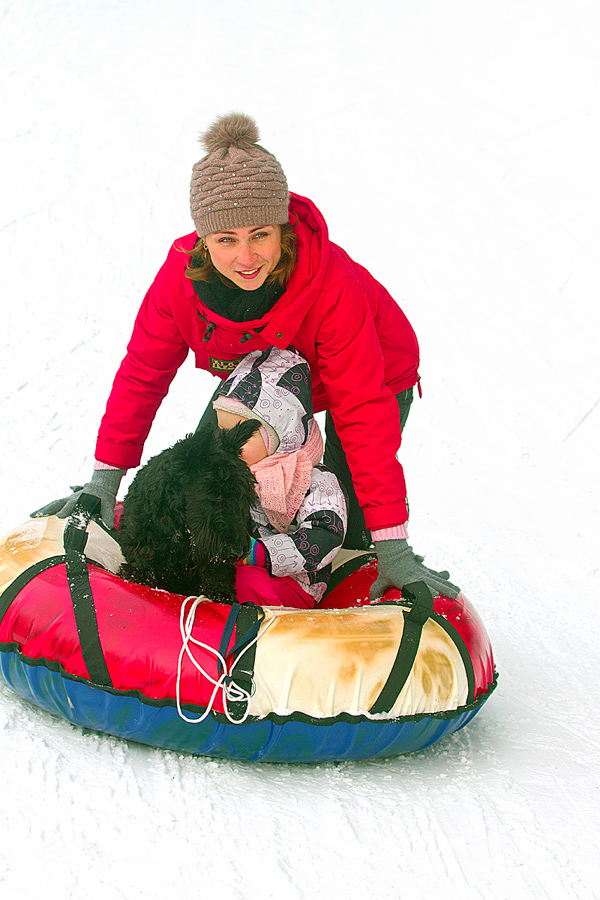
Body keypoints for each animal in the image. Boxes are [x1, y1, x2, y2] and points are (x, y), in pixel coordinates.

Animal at [116, 418, 258, 600]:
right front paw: (139, 577)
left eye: (245, 496)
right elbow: (142, 561)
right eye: (215, 493)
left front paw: (221, 594)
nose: (236, 551)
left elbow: (218, 573)